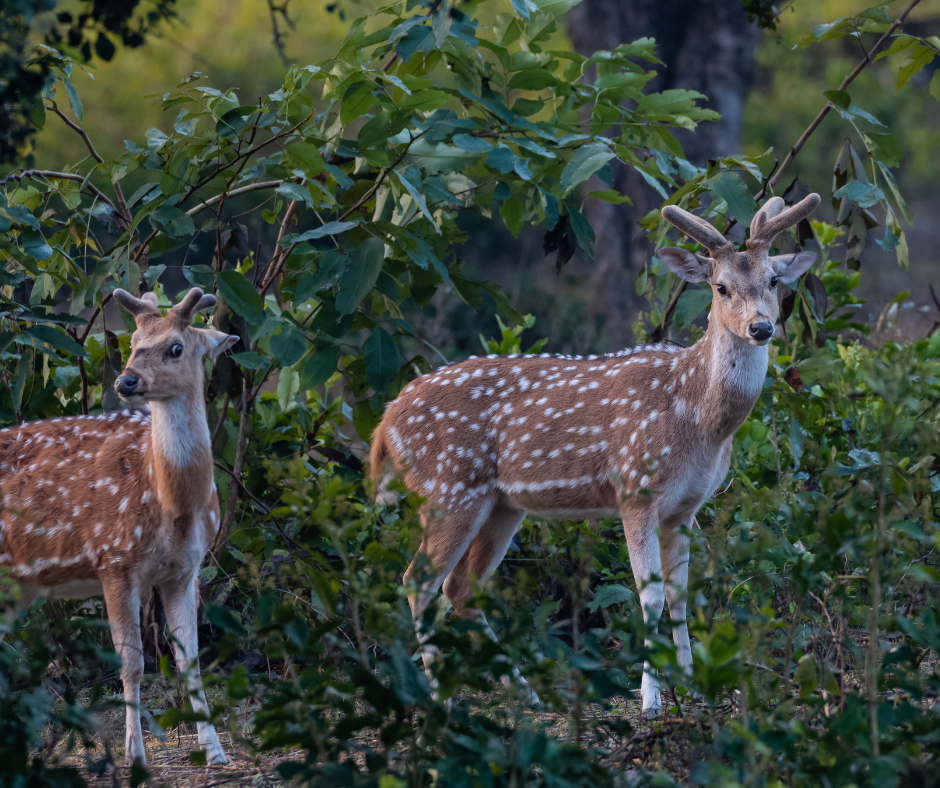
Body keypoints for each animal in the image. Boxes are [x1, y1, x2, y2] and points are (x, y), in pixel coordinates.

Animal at [0, 287, 238, 765]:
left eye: (175, 348)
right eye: (132, 344)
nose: (125, 381)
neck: (170, 503)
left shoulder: (185, 570)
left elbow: (190, 661)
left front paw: (215, 751)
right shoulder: (113, 559)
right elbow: (132, 663)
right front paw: (135, 753)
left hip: (17, 585)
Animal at [370, 193, 821, 715]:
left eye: (773, 279)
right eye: (720, 286)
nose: (761, 326)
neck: (698, 420)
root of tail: (385, 422)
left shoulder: (686, 507)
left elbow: (681, 596)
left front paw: (691, 684)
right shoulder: (635, 491)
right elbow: (649, 598)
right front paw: (651, 698)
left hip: (500, 506)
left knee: (459, 587)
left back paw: (526, 693)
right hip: (447, 488)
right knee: (417, 581)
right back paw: (439, 697)